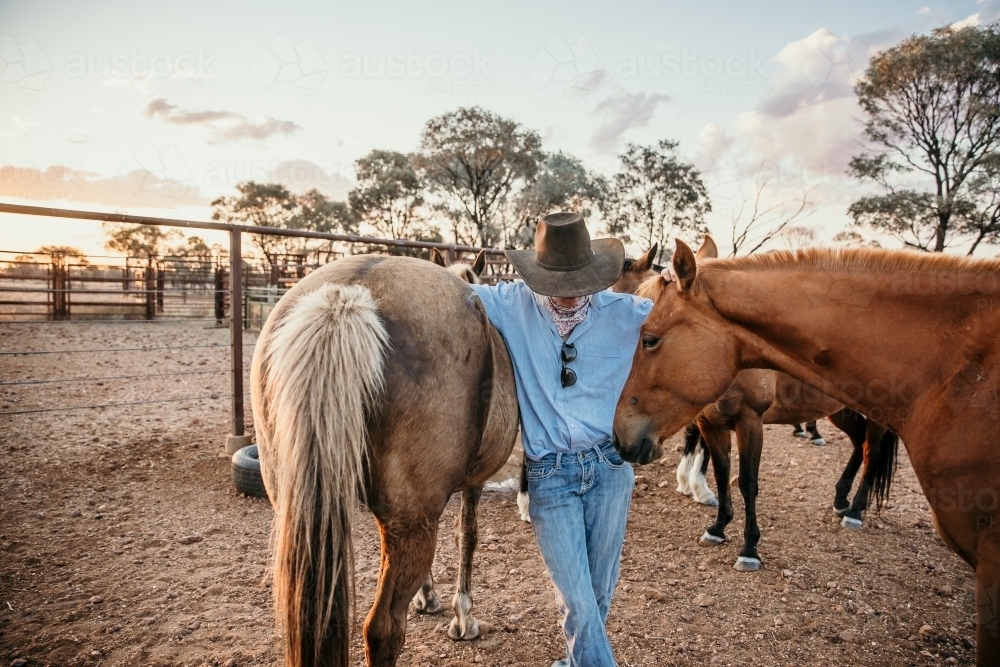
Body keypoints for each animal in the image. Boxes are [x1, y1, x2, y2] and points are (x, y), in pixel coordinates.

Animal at [250, 256, 520, 667]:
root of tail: (348, 295)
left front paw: (428, 596)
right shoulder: (470, 486)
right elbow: (467, 537)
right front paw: (463, 617)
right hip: (410, 524)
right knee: (383, 629)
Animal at [612, 243, 1000, 664]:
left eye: (649, 339)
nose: (621, 438)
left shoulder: (749, 421)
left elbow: (747, 482)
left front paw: (749, 546)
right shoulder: (710, 421)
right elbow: (721, 473)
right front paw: (716, 524)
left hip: (870, 417)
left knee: (871, 452)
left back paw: (856, 510)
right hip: (842, 410)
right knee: (857, 447)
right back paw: (841, 499)